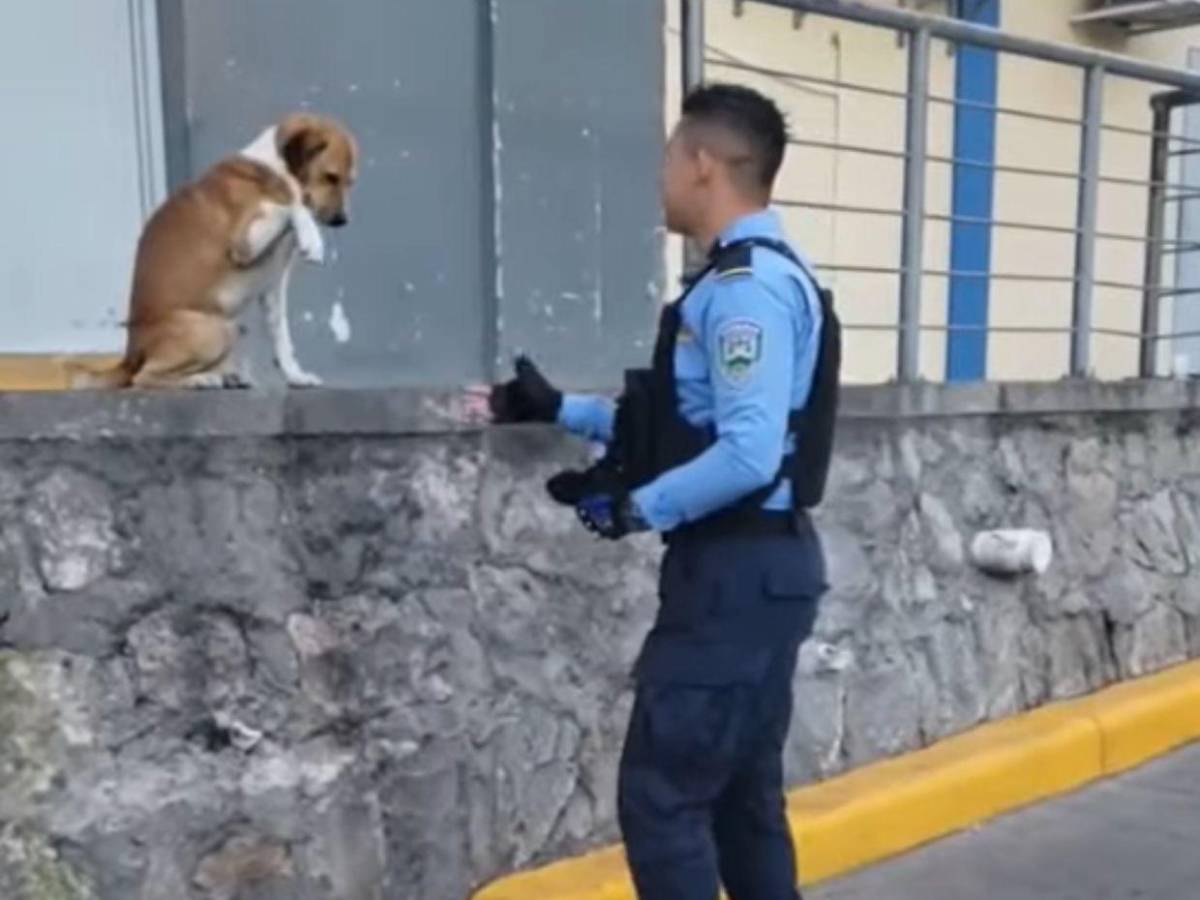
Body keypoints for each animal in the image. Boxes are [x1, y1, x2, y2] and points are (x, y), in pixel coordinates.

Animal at [72, 112, 355, 388]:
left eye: (351, 182)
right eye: (331, 176)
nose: (342, 221)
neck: (274, 170)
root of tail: (130, 356)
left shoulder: (273, 286)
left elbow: (282, 340)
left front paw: (295, 376)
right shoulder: (243, 245)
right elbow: (290, 206)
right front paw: (312, 237)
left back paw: (228, 376)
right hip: (215, 330)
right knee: (142, 378)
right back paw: (200, 379)